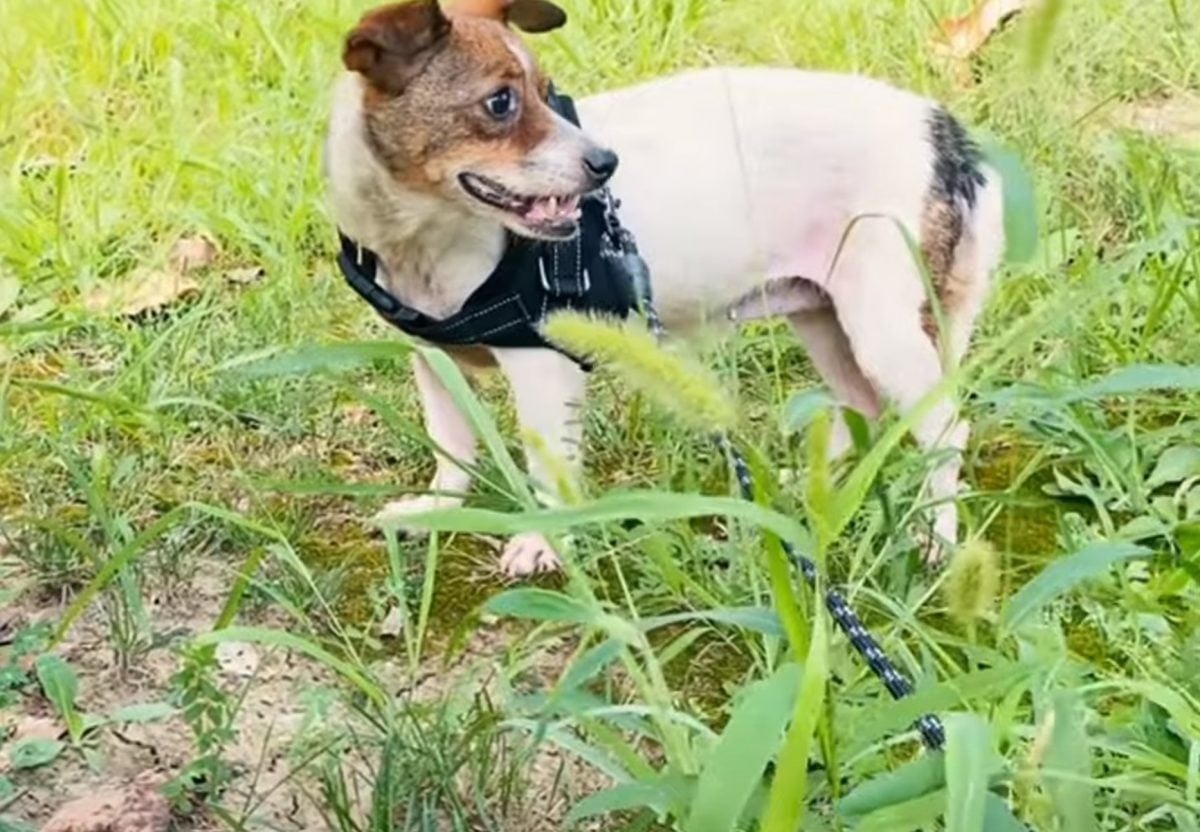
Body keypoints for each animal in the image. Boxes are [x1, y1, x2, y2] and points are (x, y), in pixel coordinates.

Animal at [324, 0, 1008, 571]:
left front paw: (546, 541)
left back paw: (934, 539)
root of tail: (946, 134)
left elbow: (549, 471)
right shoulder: (432, 360)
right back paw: (820, 490)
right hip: (822, 313)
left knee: (944, 428)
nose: (605, 164)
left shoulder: (545, 367)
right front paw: (440, 509)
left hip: (883, 328)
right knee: (864, 405)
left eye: (546, 94)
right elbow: (453, 446)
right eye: (500, 103)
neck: (425, 236)